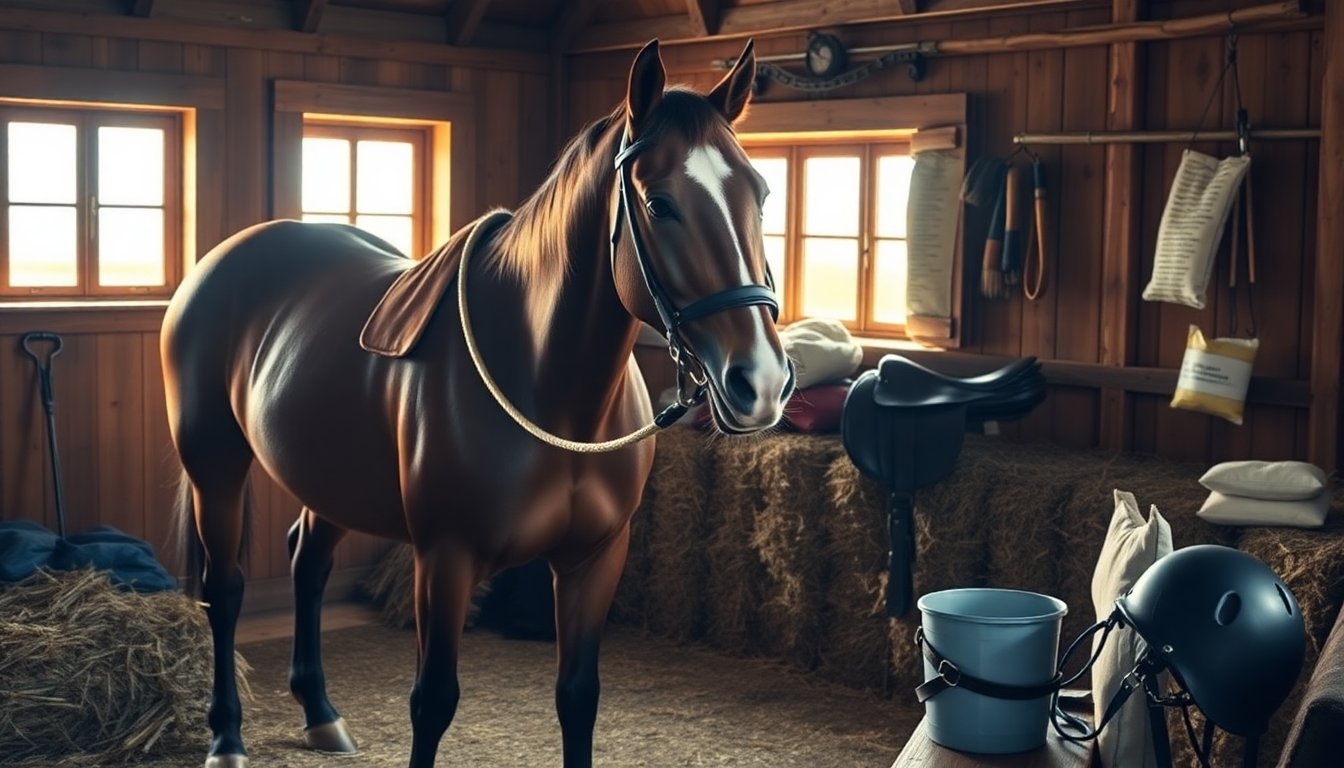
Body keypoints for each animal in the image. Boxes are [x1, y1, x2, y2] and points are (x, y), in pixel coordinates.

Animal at [161, 38, 794, 768]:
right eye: (660, 204)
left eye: (761, 194)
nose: (762, 382)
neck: (553, 397)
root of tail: (219, 263)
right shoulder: (445, 560)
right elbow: (432, 702)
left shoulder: (595, 559)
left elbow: (578, 697)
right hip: (215, 464)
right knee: (226, 586)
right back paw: (227, 735)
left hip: (331, 479)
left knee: (308, 563)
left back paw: (320, 714)